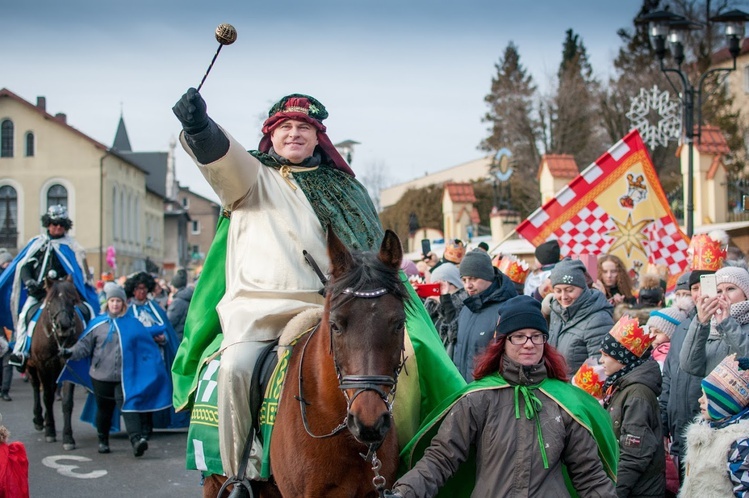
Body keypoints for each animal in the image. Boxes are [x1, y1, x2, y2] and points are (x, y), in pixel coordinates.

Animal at [25, 280, 84, 452]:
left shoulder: (68, 367)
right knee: (36, 387)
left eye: (73, 300)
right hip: (32, 367)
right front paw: (50, 430)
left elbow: (67, 401)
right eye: (51, 301)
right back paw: (39, 419)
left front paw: (68, 437)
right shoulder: (43, 366)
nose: (64, 326)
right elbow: (47, 396)